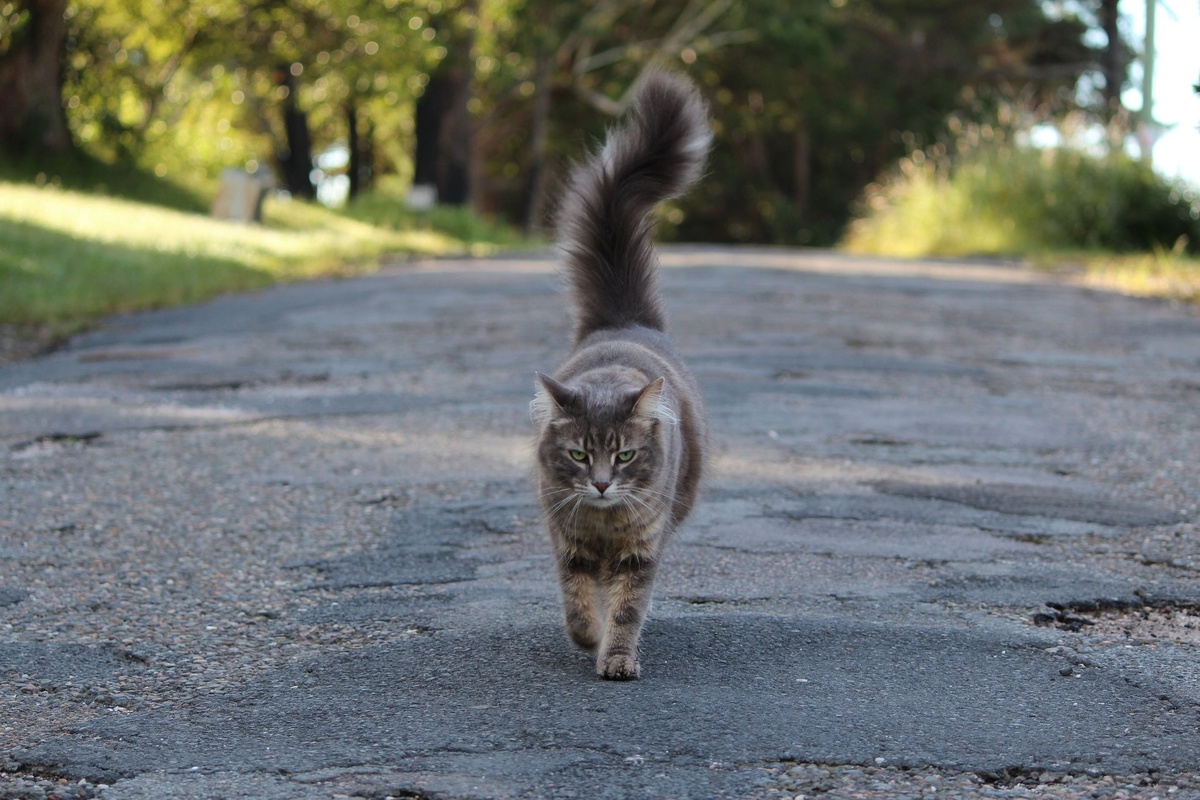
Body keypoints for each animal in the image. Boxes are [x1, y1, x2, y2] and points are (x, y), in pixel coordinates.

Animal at [528, 71, 710, 681]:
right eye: (581, 455)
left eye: (625, 455)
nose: (604, 484)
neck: (605, 525)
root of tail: (623, 321)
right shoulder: (568, 540)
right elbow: (578, 599)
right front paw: (587, 638)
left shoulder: (640, 549)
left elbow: (627, 609)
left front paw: (616, 658)